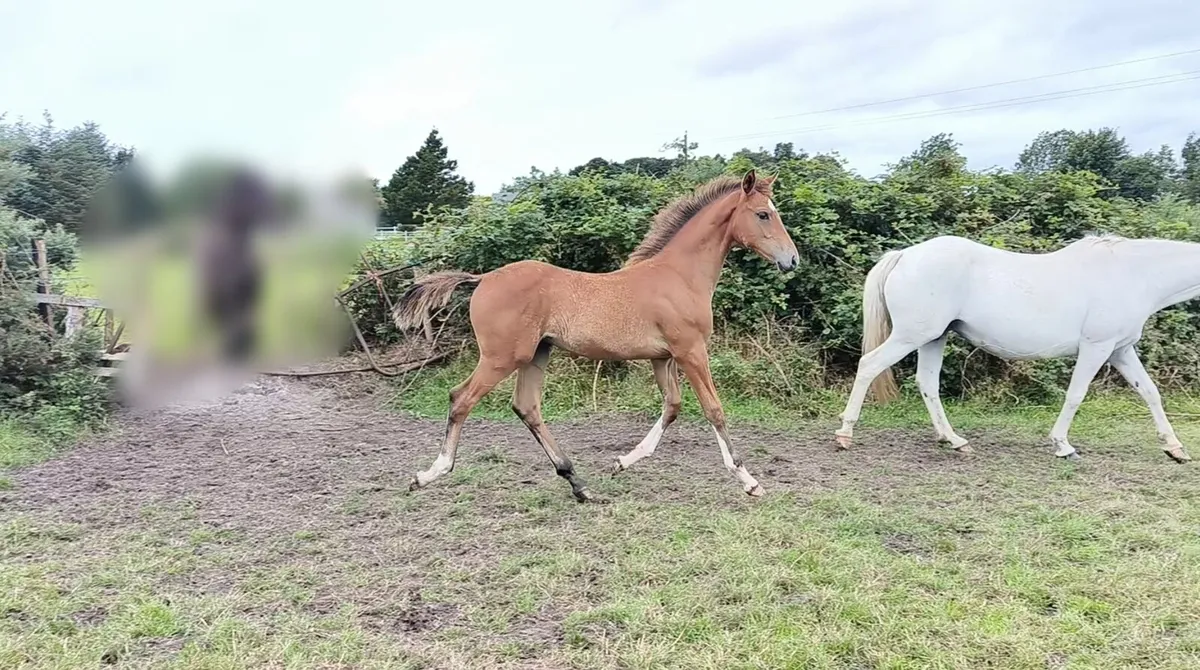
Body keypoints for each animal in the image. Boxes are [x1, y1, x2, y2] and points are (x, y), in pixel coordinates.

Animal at [392, 170, 800, 502]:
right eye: (763, 214)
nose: (792, 260)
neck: (679, 276)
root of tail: (482, 279)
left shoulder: (662, 357)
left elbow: (672, 407)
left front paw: (620, 463)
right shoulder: (690, 350)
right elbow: (714, 409)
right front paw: (749, 481)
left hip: (536, 354)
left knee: (527, 407)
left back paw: (579, 484)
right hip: (502, 357)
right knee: (461, 399)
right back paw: (428, 474)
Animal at [834, 234, 1197, 463]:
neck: (1133, 275)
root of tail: (904, 256)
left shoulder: (1120, 350)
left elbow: (1150, 393)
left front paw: (1175, 448)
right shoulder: (1097, 347)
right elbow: (1076, 395)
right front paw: (1063, 446)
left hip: (933, 338)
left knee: (927, 384)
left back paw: (954, 441)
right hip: (911, 335)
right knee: (869, 366)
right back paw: (845, 434)